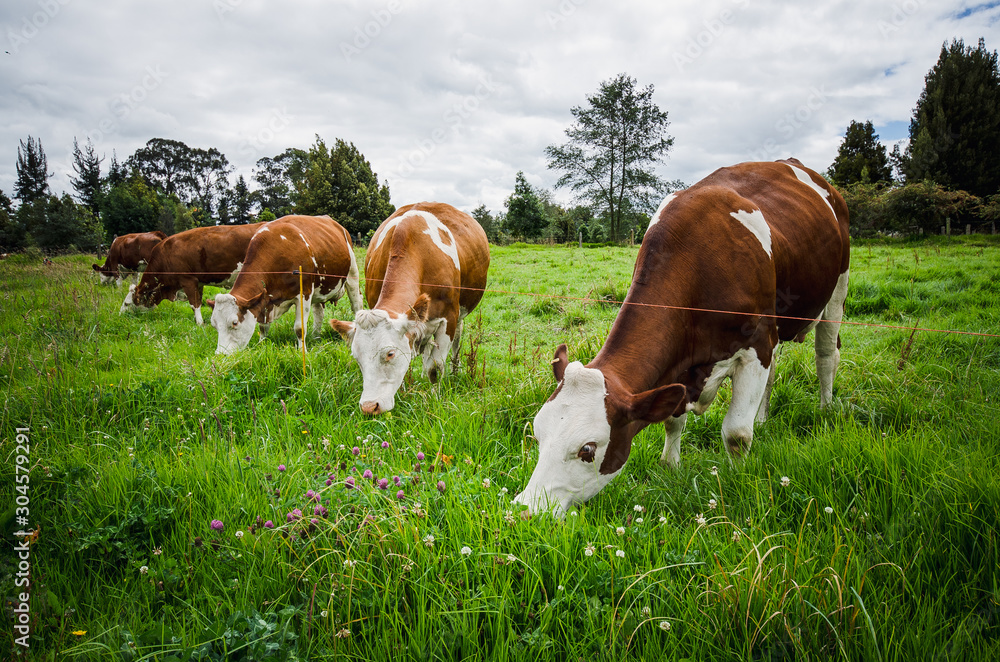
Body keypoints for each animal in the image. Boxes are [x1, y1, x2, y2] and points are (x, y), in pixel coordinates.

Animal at [120, 224, 266, 326]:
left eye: (126, 304)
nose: (120, 317)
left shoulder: (188, 280)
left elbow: (194, 304)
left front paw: (200, 323)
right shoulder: (198, 282)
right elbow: (198, 302)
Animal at [209, 215, 366, 356]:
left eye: (234, 323)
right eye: (214, 324)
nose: (220, 355)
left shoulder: (304, 294)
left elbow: (299, 328)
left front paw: (303, 352)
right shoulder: (264, 300)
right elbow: (263, 326)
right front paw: (261, 344)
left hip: (352, 274)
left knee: (356, 303)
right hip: (319, 287)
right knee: (319, 313)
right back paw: (315, 337)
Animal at [330, 201, 490, 416]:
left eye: (390, 353)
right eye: (357, 356)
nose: (369, 407)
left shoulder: (447, 319)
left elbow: (435, 367)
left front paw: (434, 399)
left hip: (459, 316)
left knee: (456, 341)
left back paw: (455, 371)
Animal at [516, 161, 852, 520]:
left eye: (587, 450)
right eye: (538, 433)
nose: (525, 510)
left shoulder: (757, 344)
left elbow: (736, 433)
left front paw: (737, 480)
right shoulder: (680, 367)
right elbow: (673, 422)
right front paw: (671, 466)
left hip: (837, 288)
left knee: (826, 354)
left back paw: (825, 408)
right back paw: (762, 420)